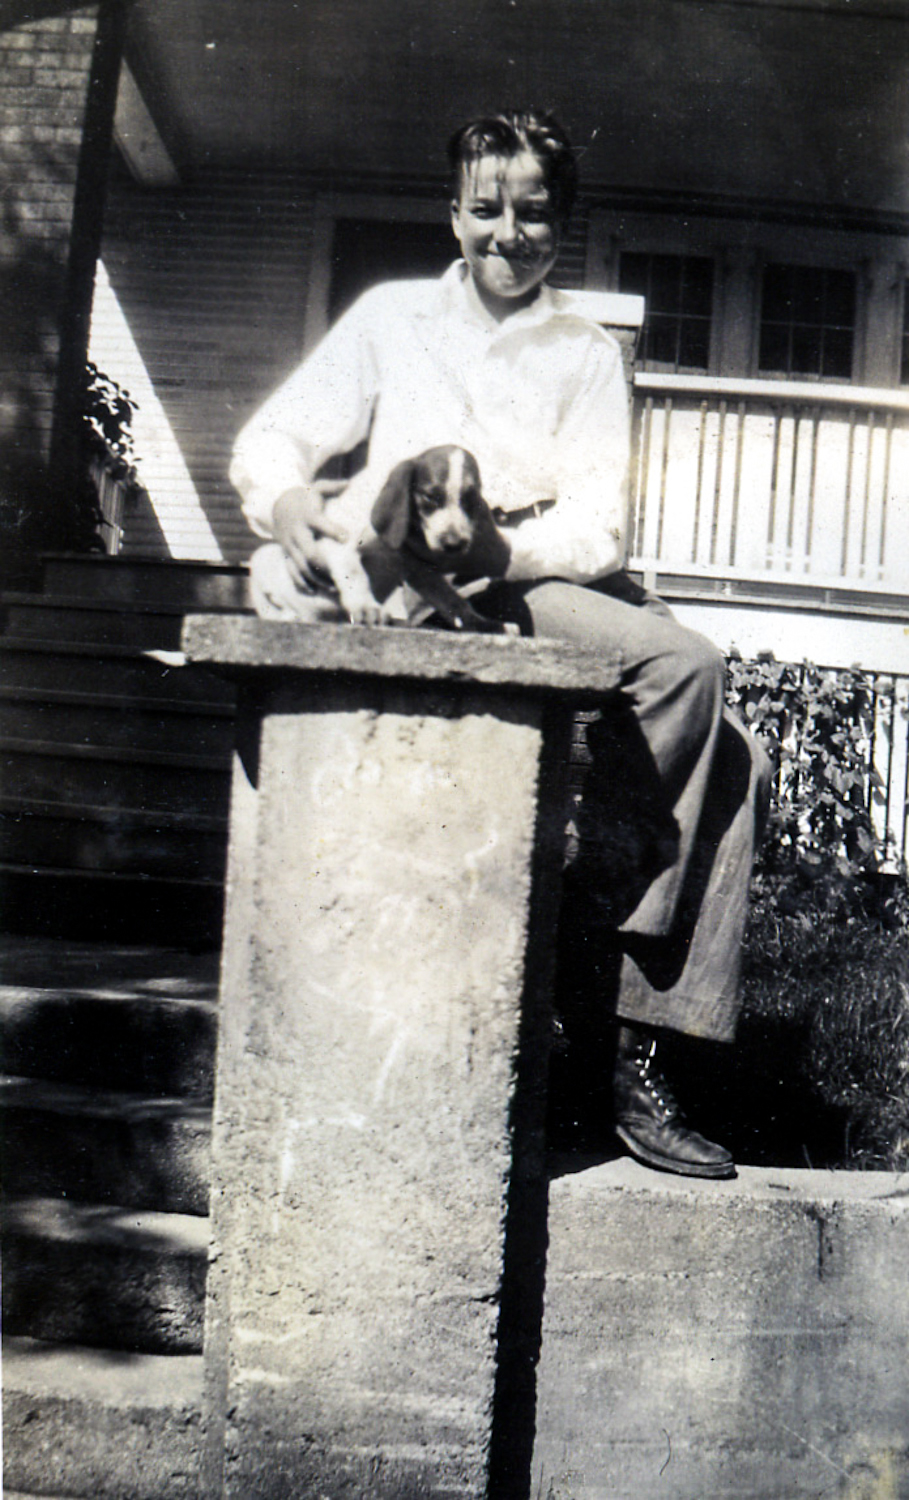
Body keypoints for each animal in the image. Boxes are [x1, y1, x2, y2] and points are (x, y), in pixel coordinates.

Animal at [319, 445, 514, 634]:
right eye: (431, 497)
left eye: (470, 500)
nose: (454, 544)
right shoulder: (342, 545)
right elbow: (354, 572)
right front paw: (367, 607)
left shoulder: (418, 567)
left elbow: (451, 600)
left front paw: (484, 624)